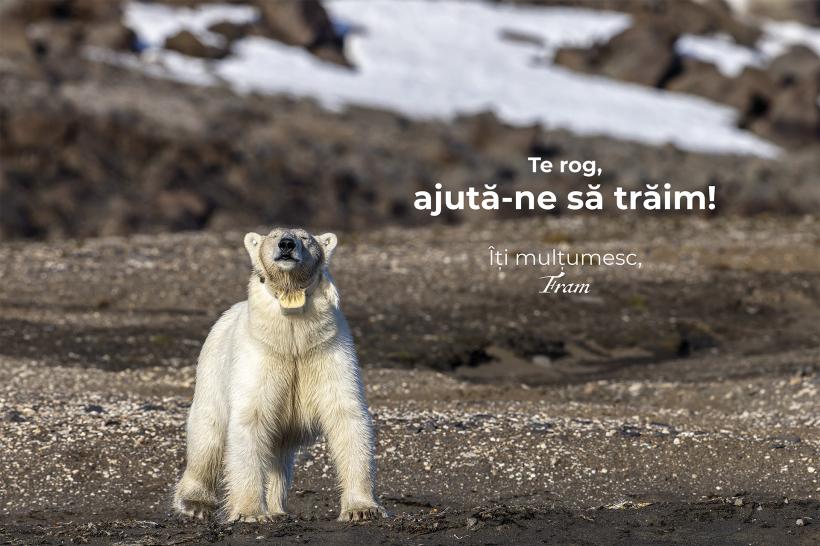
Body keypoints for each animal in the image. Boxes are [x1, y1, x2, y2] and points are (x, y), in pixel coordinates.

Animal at [173, 227, 384, 520]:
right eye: (273, 235)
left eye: (305, 238)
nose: (286, 244)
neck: (292, 336)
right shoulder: (260, 355)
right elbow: (251, 418)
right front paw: (249, 512)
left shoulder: (327, 350)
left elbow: (346, 414)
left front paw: (362, 509)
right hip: (212, 370)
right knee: (208, 433)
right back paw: (194, 502)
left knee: (278, 455)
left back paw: (277, 508)